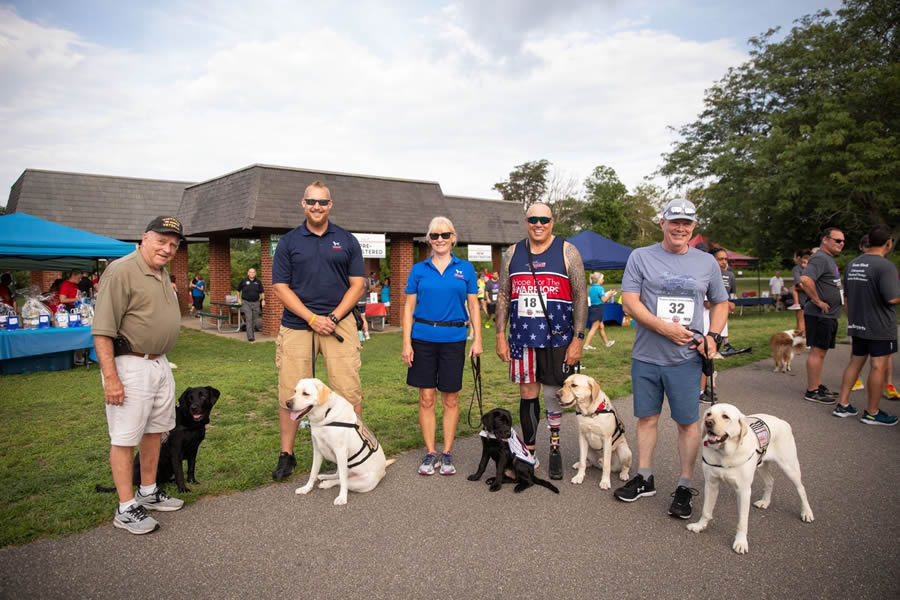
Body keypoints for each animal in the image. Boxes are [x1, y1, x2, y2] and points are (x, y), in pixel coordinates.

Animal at [687, 403, 814, 554]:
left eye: (725, 416)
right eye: (708, 414)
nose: (708, 423)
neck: (725, 455)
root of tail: (782, 421)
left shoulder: (744, 491)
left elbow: (742, 521)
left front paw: (741, 542)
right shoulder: (711, 484)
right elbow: (706, 510)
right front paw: (700, 526)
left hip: (790, 467)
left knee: (801, 488)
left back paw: (807, 512)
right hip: (761, 465)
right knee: (770, 481)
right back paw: (765, 502)